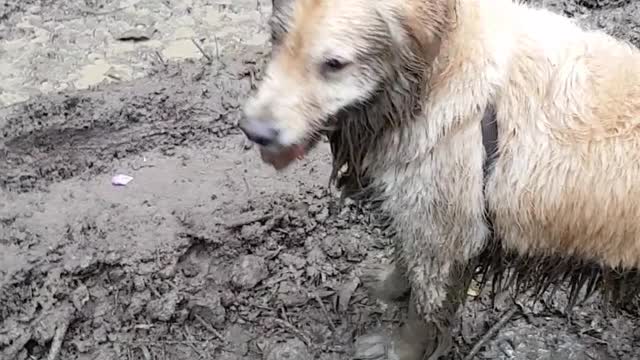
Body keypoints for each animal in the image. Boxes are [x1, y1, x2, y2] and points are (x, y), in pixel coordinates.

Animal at [238, 0, 640, 358]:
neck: (431, 76)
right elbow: (404, 260)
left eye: (334, 64)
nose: (254, 131)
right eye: (276, 38)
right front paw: (388, 285)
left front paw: (398, 350)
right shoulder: (420, 213)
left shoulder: (442, 231)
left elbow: (422, 310)